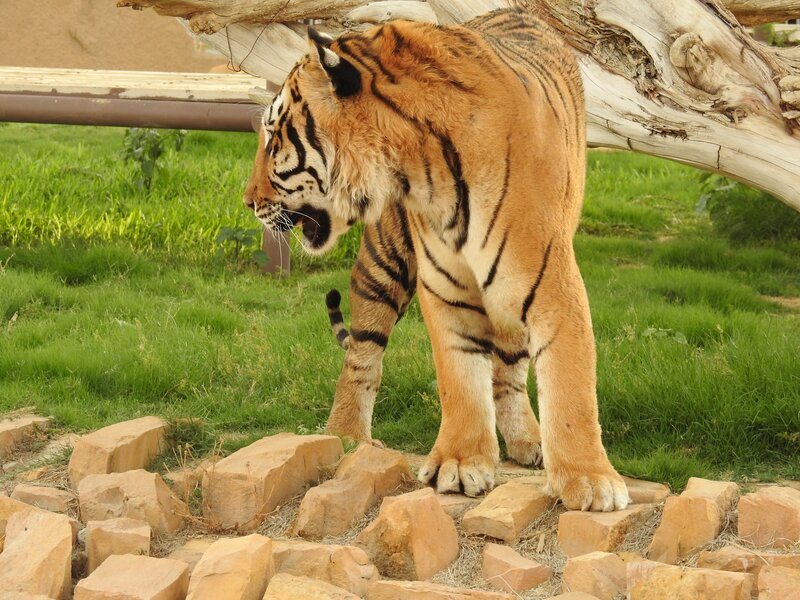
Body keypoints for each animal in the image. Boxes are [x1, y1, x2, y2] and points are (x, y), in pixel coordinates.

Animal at [243, 8, 629, 510]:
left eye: (273, 139)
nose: (248, 201)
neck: (423, 166)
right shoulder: (447, 289)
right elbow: (460, 379)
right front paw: (460, 464)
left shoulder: (551, 285)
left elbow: (570, 385)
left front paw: (589, 480)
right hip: (384, 264)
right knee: (361, 355)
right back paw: (346, 437)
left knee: (508, 368)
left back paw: (527, 440)